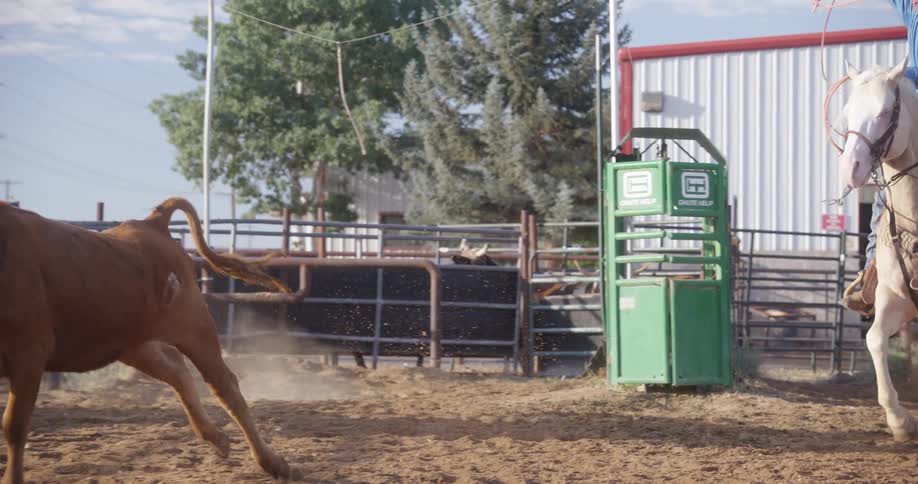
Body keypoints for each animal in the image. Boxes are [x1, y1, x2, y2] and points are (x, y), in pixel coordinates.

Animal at [0, 198, 295, 484]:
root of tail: (152, 223)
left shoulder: (29, 355)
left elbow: (14, 425)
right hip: (132, 344)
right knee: (176, 370)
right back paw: (218, 438)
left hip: (194, 328)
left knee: (225, 388)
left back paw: (272, 462)